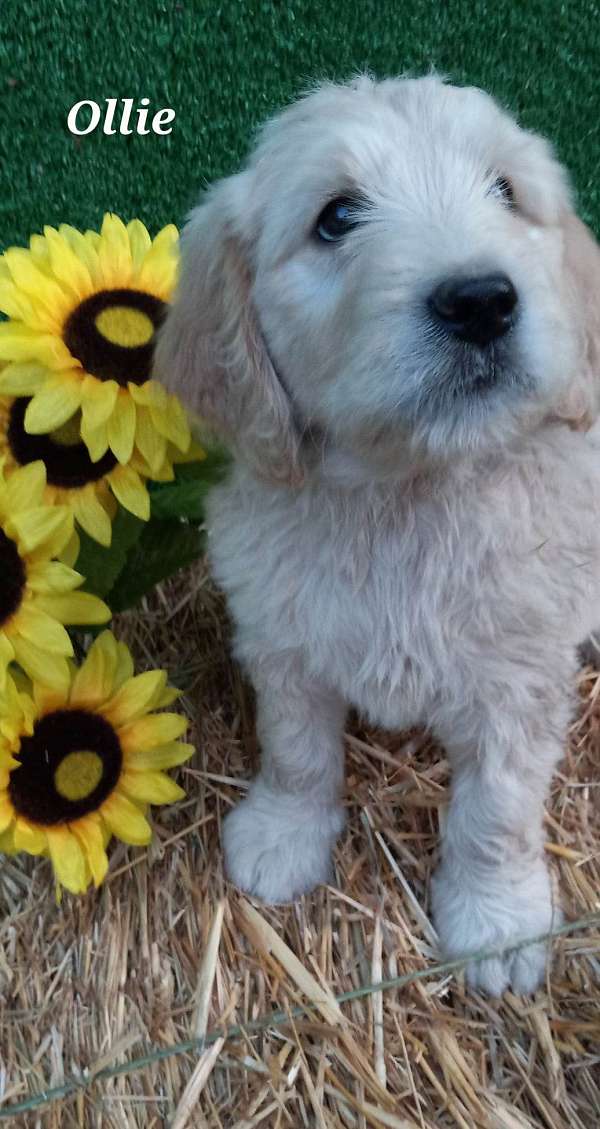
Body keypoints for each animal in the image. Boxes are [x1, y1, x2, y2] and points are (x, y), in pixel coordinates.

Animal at [154, 75, 600, 993]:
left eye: (507, 191)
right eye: (335, 218)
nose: (481, 300)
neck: (409, 494)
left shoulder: (520, 682)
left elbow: (497, 808)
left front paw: (495, 920)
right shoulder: (283, 640)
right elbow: (296, 750)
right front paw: (284, 834)